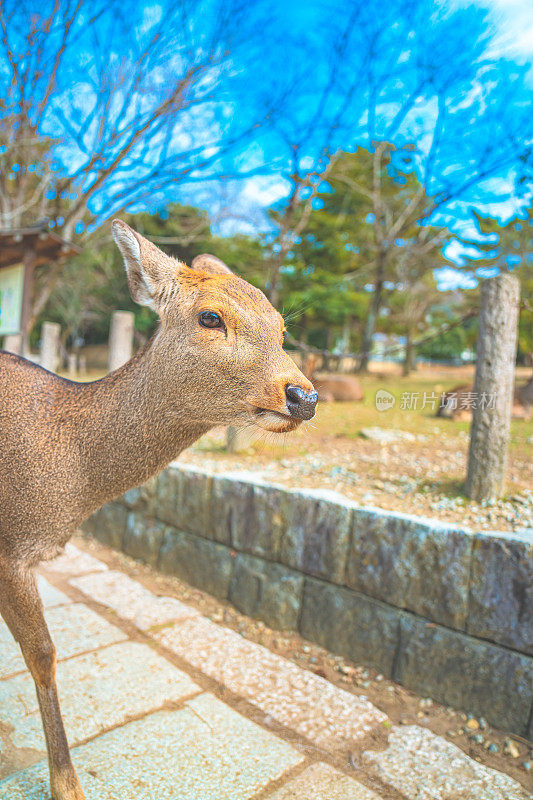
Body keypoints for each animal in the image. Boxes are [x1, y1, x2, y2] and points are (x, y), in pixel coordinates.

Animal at [0, 219, 316, 800]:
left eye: (282, 327)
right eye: (210, 317)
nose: (304, 396)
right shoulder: (10, 549)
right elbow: (43, 654)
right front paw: (67, 785)